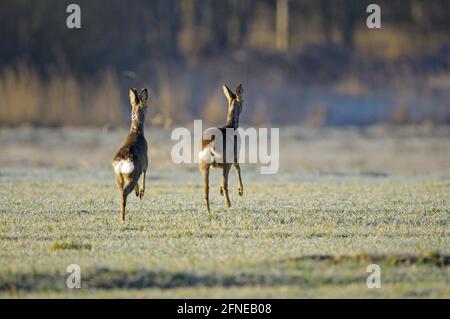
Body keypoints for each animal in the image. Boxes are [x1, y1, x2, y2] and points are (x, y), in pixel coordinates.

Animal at [112, 89, 149, 221]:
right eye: (146, 106)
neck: (136, 131)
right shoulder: (145, 163)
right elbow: (144, 174)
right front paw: (141, 192)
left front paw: (138, 192)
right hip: (131, 175)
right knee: (124, 193)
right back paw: (123, 219)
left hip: (118, 177)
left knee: (121, 193)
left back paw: (121, 217)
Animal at [200, 84, 244, 214]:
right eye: (243, 100)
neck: (231, 126)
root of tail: (212, 143)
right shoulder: (235, 153)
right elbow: (238, 168)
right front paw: (241, 191)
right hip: (226, 160)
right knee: (225, 183)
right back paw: (228, 204)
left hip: (203, 164)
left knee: (206, 187)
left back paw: (209, 210)